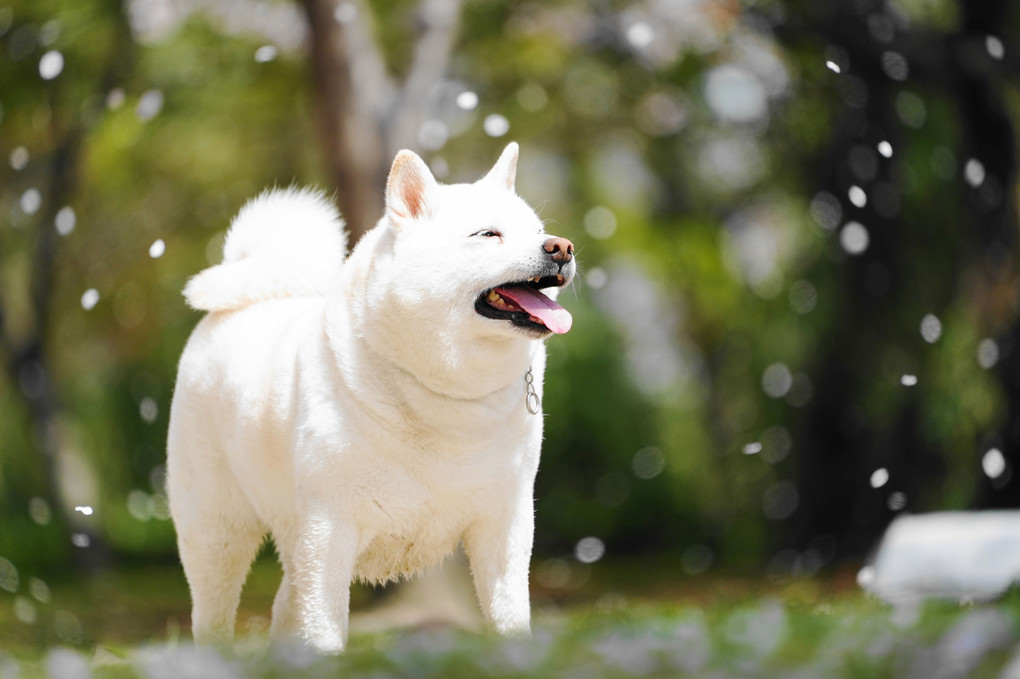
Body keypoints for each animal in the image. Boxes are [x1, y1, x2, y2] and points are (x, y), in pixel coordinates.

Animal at [165, 142, 575, 652]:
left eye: (538, 231)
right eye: (489, 234)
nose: (562, 247)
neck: (446, 395)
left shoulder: (505, 524)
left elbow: (510, 617)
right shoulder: (329, 531)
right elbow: (326, 631)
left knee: (285, 607)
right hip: (217, 532)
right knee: (213, 616)